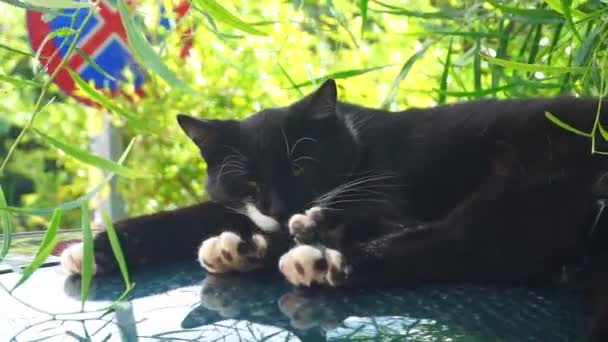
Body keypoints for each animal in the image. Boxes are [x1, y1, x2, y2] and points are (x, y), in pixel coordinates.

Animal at [60, 79, 608, 340]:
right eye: (249, 180)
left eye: (302, 167)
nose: (283, 205)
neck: (357, 143)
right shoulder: (243, 207)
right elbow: (188, 216)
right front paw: (94, 249)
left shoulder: (389, 193)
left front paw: (265, 243)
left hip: (531, 180)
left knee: (467, 244)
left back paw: (318, 259)